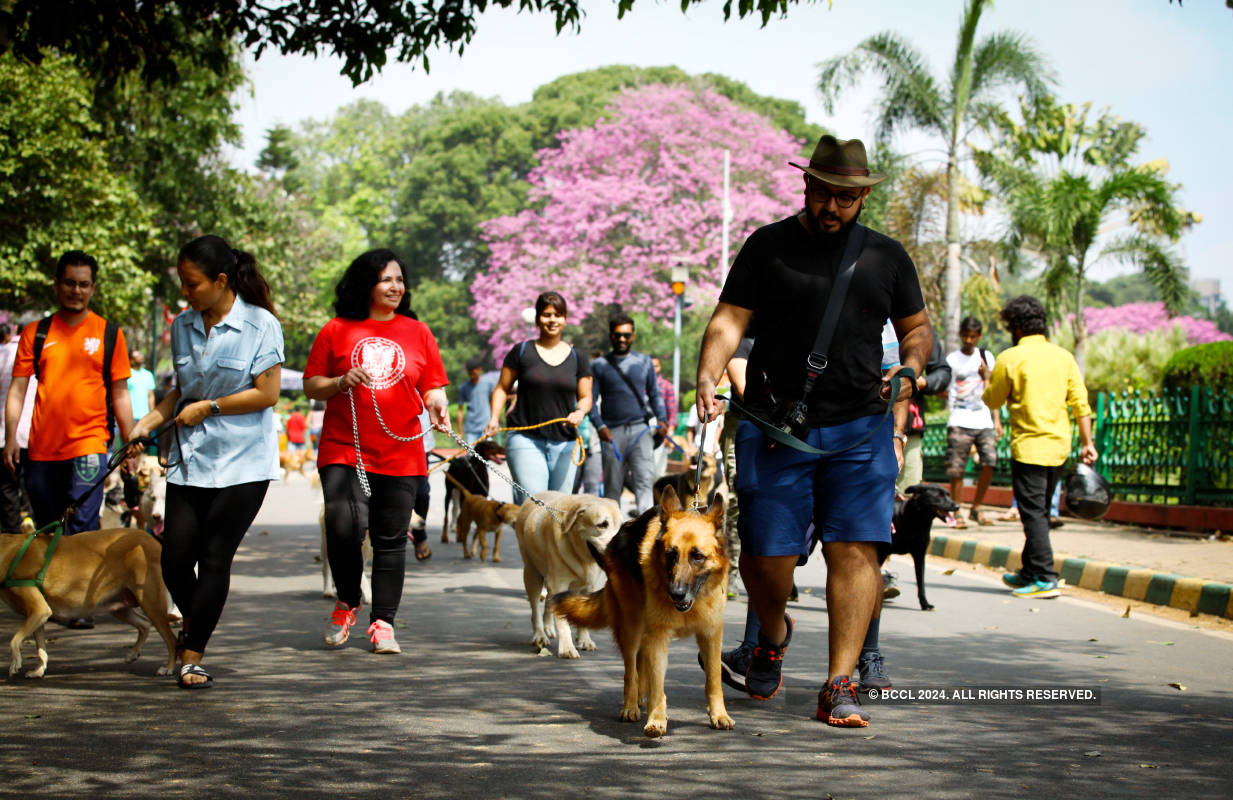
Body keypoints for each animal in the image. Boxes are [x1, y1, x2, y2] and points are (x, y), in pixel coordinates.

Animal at [0, 527, 178, 675]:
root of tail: (153, 541)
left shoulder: (40, 610)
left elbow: (14, 640)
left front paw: (16, 663)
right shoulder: (36, 616)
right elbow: (41, 649)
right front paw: (38, 671)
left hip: (150, 603)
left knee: (171, 639)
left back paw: (168, 668)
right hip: (119, 607)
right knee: (144, 624)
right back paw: (133, 654)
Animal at [515, 490, 621, 660]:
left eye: (621, 527)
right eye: (602, 524)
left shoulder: (588, 587)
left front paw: (584, 640)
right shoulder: (559, 585)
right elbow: (562, 621)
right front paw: (567, 648)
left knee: (547, 602)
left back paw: (548, 627)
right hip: (532, 574)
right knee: (535, 609)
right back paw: (540, 635)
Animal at [552, 480, 729, 734]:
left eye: (697, 556)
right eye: (671, 555)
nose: (675, 593)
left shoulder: (711, 636)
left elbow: (713, 679)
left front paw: (719, 714)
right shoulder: (658, 638)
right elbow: (657, 685)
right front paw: (656, 719)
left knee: (641, 667)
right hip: (632, 629)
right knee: (631, 672)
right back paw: (631, 706)